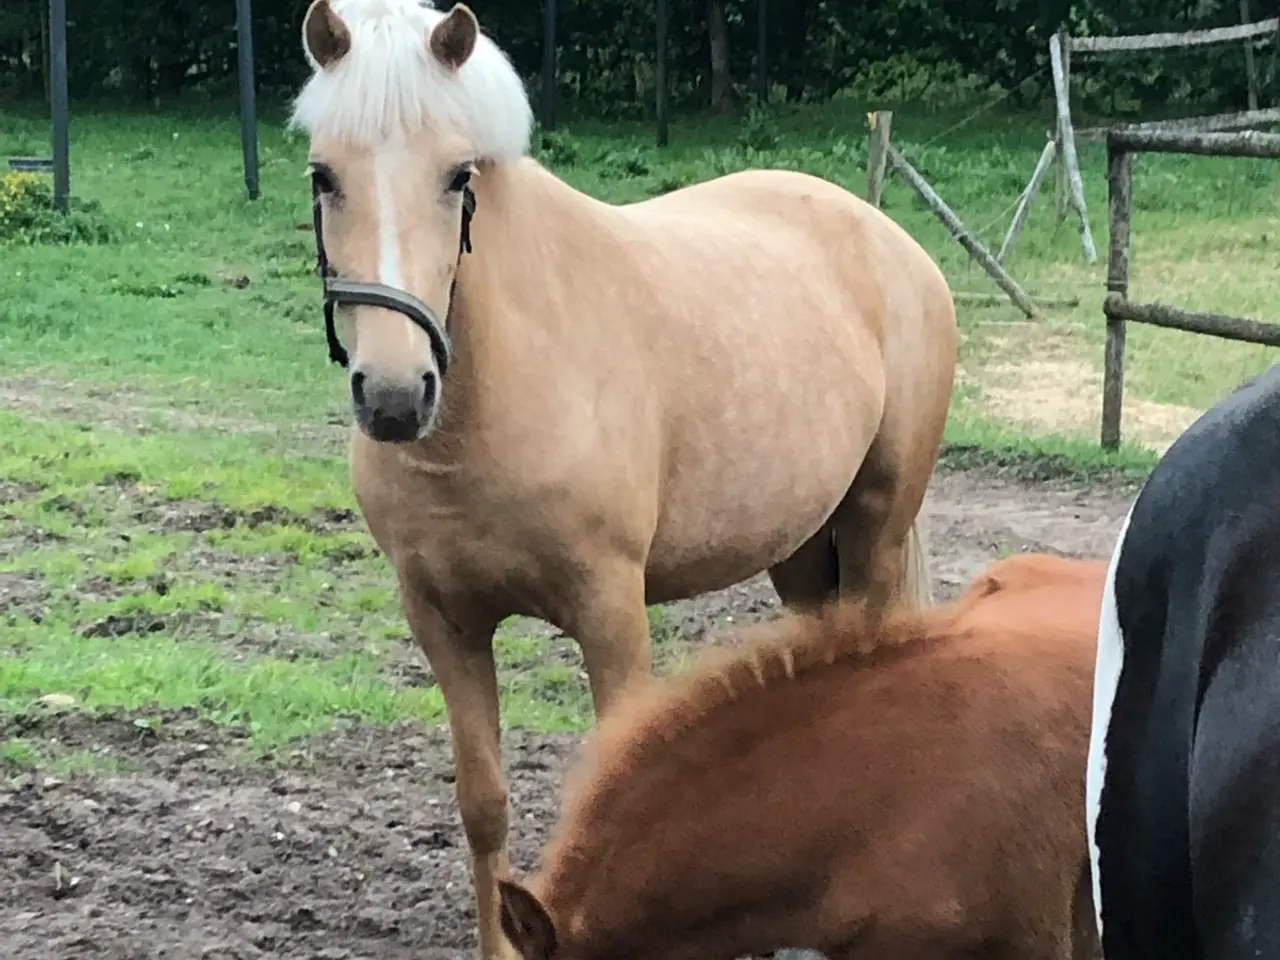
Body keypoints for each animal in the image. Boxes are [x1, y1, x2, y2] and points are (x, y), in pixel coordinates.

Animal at [287, 1, 957, 955]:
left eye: (457, 175)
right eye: (324, 175)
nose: (392, 394)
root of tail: (887, 238)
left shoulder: (610, 612)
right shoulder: (443, 619)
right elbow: (483, 803)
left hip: (874, 529)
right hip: (799, 552)